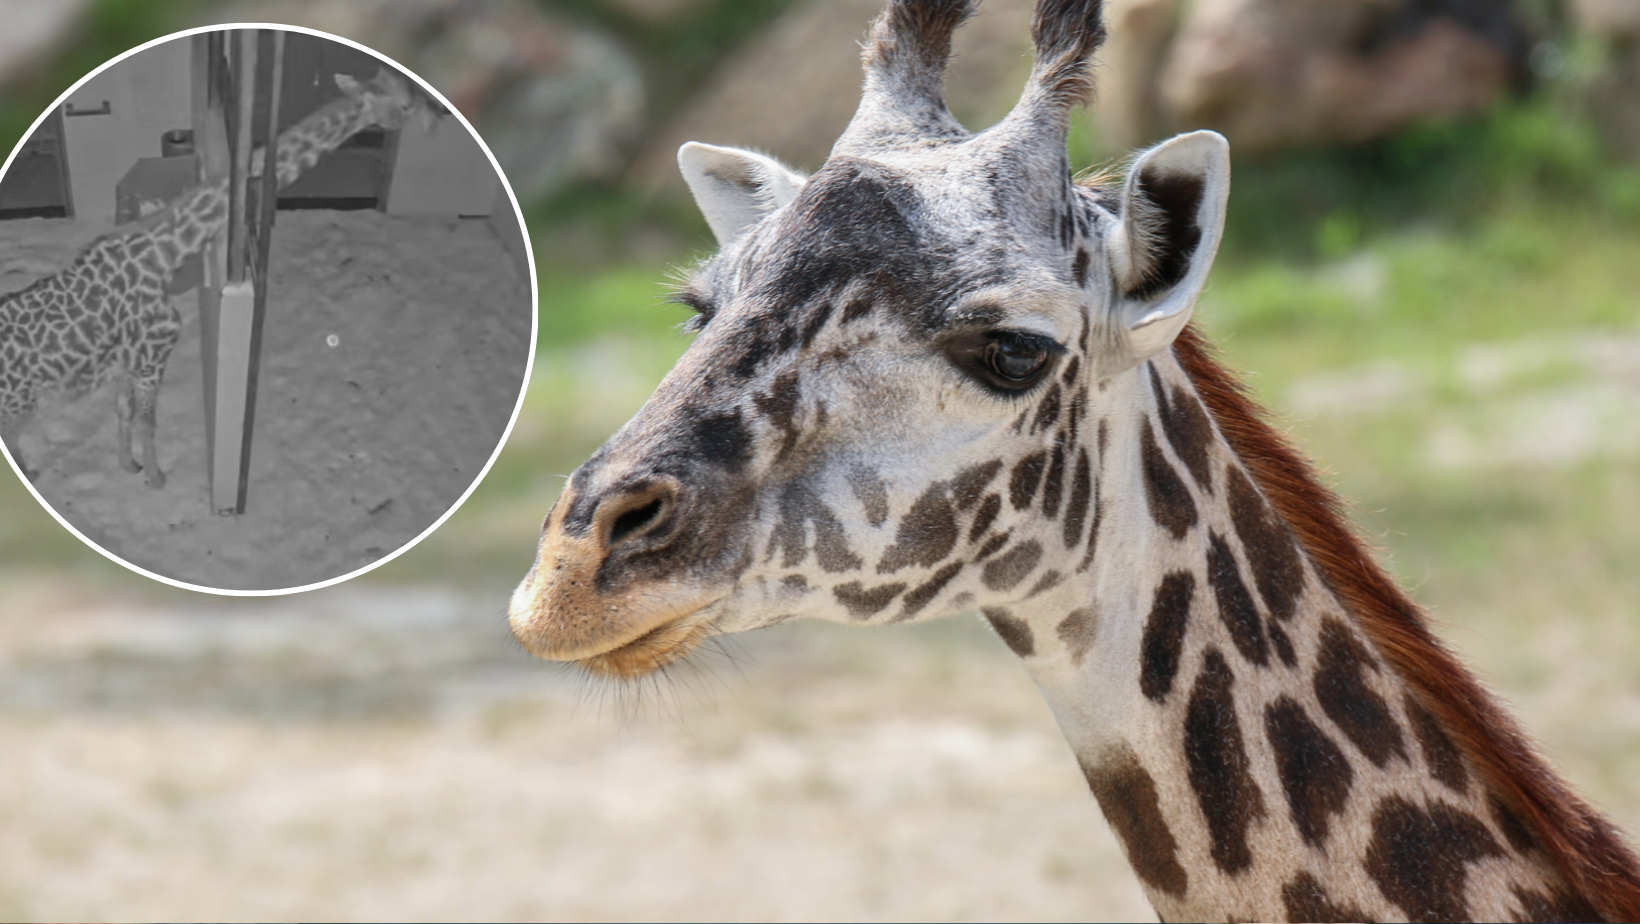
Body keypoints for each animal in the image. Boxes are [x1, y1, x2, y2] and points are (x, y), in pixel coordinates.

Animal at [0, 66, 433, 488]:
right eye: (406, 104)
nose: (435, 114)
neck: (164, 251)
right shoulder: (154, 354)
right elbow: (147, 421)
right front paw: (156, 477)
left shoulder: (128, 361)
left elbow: (123, 411)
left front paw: (129, 466)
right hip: (20, 405)